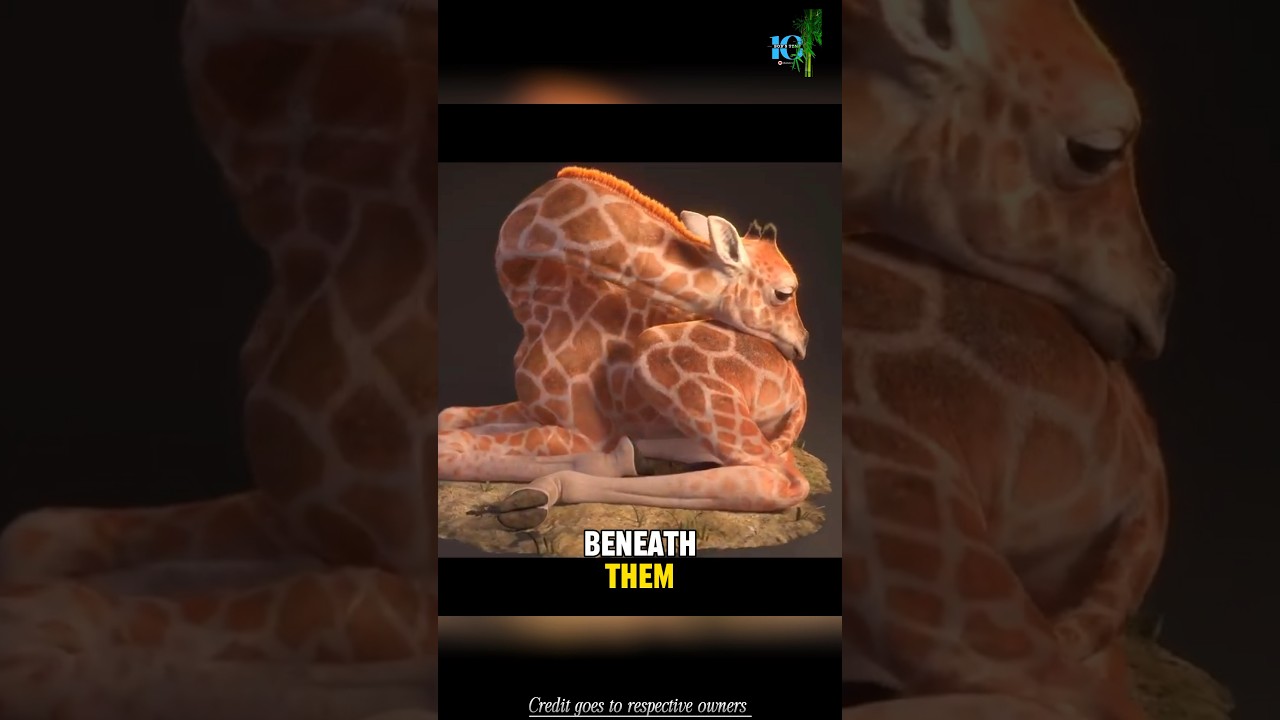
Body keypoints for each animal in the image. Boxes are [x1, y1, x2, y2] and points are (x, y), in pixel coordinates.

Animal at [438, 167, 812, 530]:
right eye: (784, 292)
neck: (534, 300)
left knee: (782, 480)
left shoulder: (584, 431)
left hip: (658, 354)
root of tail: (799, 395)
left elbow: (450, 446)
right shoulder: (535, 409)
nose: (803, 342)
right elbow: (449, 416)